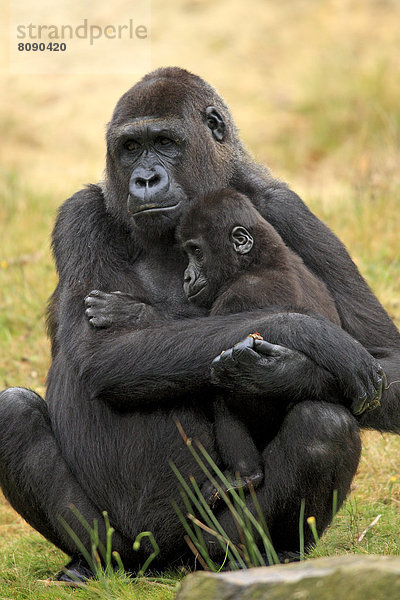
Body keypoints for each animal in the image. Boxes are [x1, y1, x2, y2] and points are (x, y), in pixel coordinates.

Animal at [178, 190, 340, 504]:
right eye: (188, 253)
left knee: (223, 388)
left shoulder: (239, 295)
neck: (261, 258)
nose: (187, 277)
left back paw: (245, 473)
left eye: (197, 252)